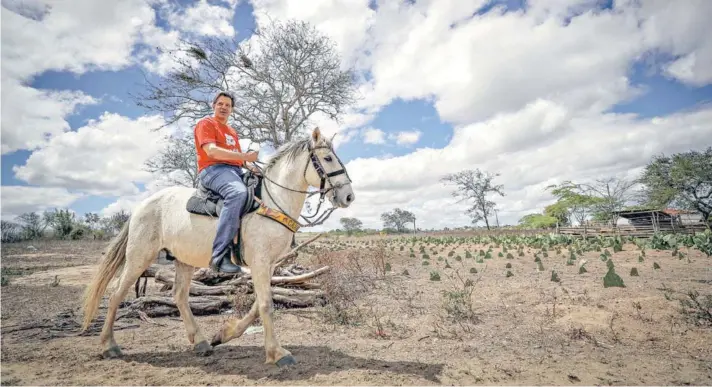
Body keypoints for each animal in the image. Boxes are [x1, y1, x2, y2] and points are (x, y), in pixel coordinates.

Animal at [82, 129, 354, 368]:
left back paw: (201, 342)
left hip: (184, 260)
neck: (272, 200)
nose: (349, 197)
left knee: (179, 295)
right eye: (328, 158)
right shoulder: (259, 262)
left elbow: (258, 304)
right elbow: (266, 305)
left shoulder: (269, 264)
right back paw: (109, 346)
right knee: (116, 293)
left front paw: (225, 334)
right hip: (139, 256)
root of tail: (140, 206)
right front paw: (277, 353)